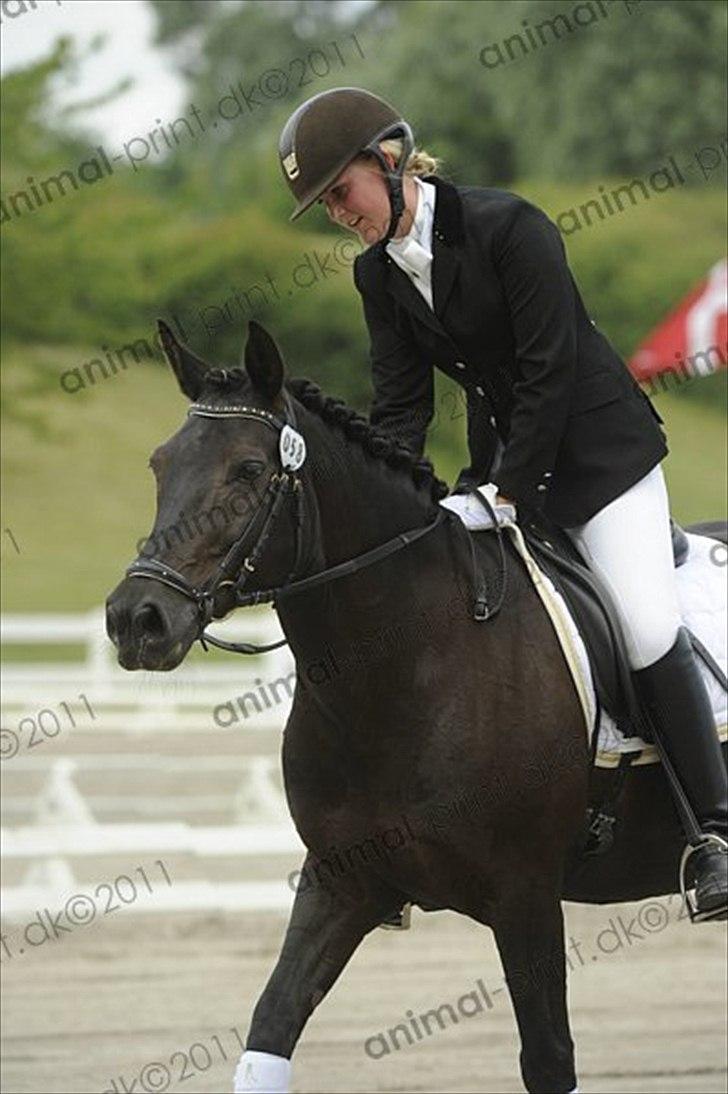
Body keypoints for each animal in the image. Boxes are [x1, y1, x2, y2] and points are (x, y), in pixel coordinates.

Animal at [105, 319, 727, 1094]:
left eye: (249, 470)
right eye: (160, 465)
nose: (136, 620)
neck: (404, 668)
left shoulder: (525, 895)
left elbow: (548, 1059)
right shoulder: (341, 882)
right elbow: (268, 1030)